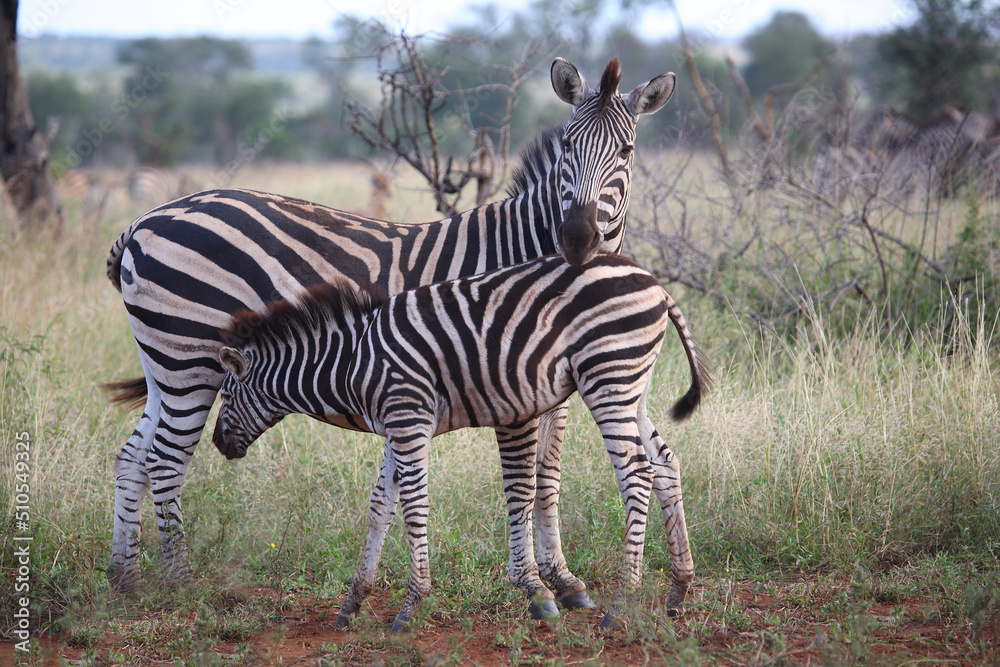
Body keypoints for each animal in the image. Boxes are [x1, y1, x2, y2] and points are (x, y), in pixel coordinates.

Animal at [105, 57, 677, 603]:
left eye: (626, 151)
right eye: (568, 147)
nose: (576, 238)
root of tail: (142, 221)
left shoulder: (557, 379)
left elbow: (551, 475)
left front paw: (562, 576)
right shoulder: (512, 376)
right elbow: (526, 479)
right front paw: (539, 582)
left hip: (165, 363)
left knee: (135, 455)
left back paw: (126, 579)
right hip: (190, 360)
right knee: (166, 460)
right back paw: (178, 581)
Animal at [212, 252, 709, 630]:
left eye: (226, 394)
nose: (218, 444)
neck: (352, 363)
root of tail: (656, 285)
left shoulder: (408, 419)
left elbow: (414, 507)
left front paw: (411, 607)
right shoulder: (396, 426)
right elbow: (379, 506)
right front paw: (353, 602)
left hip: (608, 376)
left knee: (636, 475)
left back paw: (623, 604)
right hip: (631, 386)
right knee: (665, 464)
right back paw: (678, 588)